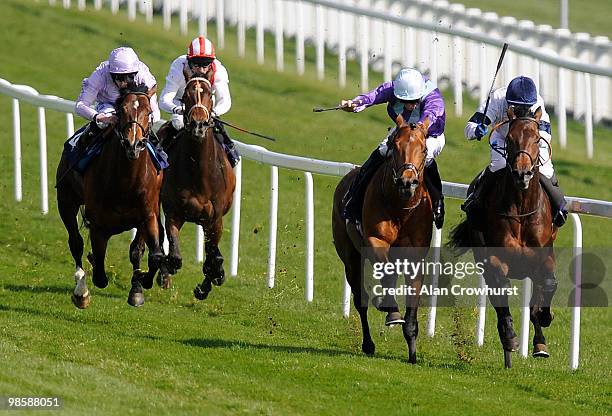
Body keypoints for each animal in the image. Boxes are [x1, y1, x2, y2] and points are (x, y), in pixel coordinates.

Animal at [55, 84, 164, 308]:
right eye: (121, 111)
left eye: (149, 112)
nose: (133, 144)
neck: (126, 182)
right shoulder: (98, 224)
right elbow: (99, 274)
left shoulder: (148, 215)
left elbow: (149, 254)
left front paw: (140, 286)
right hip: (66, 201)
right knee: (76, 241)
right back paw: (81, 290)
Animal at [159, 75, 235, 300]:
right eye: (186, 94)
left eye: (210, 94)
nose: (198, 125)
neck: (198, 172)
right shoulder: (174, 212)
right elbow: (174, 253)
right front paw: (167, 269)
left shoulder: (214, 219)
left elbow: (213, 255)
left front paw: (208, 283)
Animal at [334, 115, 436, 362]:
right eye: (395, 147)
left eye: (424, 149)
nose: (407, 182)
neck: (401, 208)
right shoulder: (375, 240)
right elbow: (387, 273)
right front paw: (389, 307)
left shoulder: (415, 256)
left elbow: (412, 303)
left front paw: (412, 351)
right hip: (350, 257)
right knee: (360, 300)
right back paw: (368, 343)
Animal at [450, 107, 560, 368]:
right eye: (509, 139)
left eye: (537, 139)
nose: (522, 174)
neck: (521, 209)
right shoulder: (495, 260)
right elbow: (501, 289)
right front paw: (510, 337)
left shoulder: (544, 257)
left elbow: (547, 286)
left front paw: (544, 320)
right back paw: (508, 344)